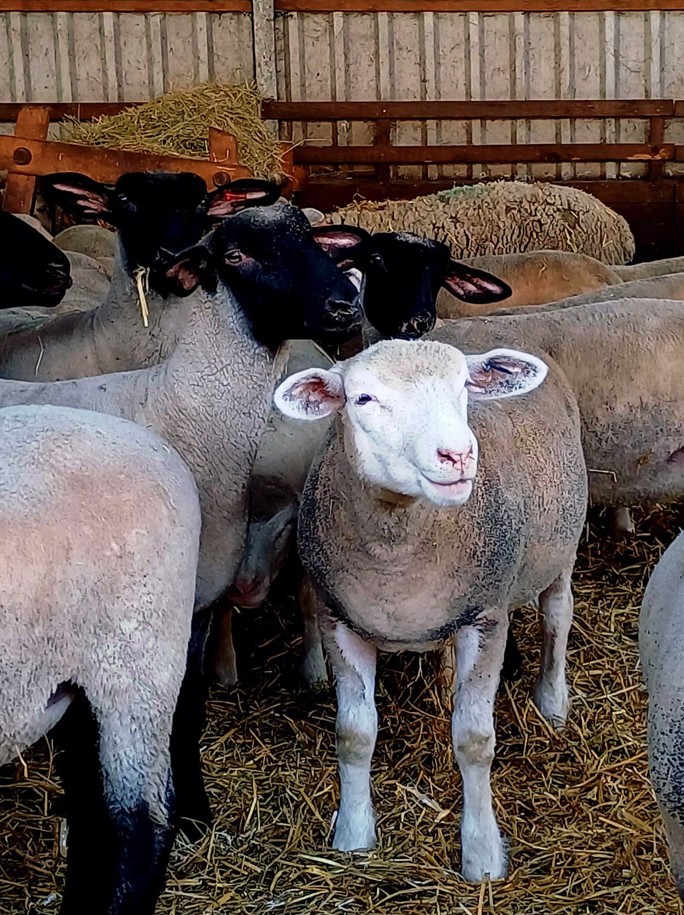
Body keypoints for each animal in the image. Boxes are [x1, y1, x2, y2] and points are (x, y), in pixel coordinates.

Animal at [274, 338, 587, 882]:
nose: (458, 454)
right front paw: (353, 838)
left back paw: (551, 701)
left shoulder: (487, 616)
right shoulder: (339, 620)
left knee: (557, 617)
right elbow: (354, 734)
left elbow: (474, 740)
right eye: (362, 399)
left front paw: (482, 856)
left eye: (463, 386)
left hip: (561, 547)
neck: (399, 546)